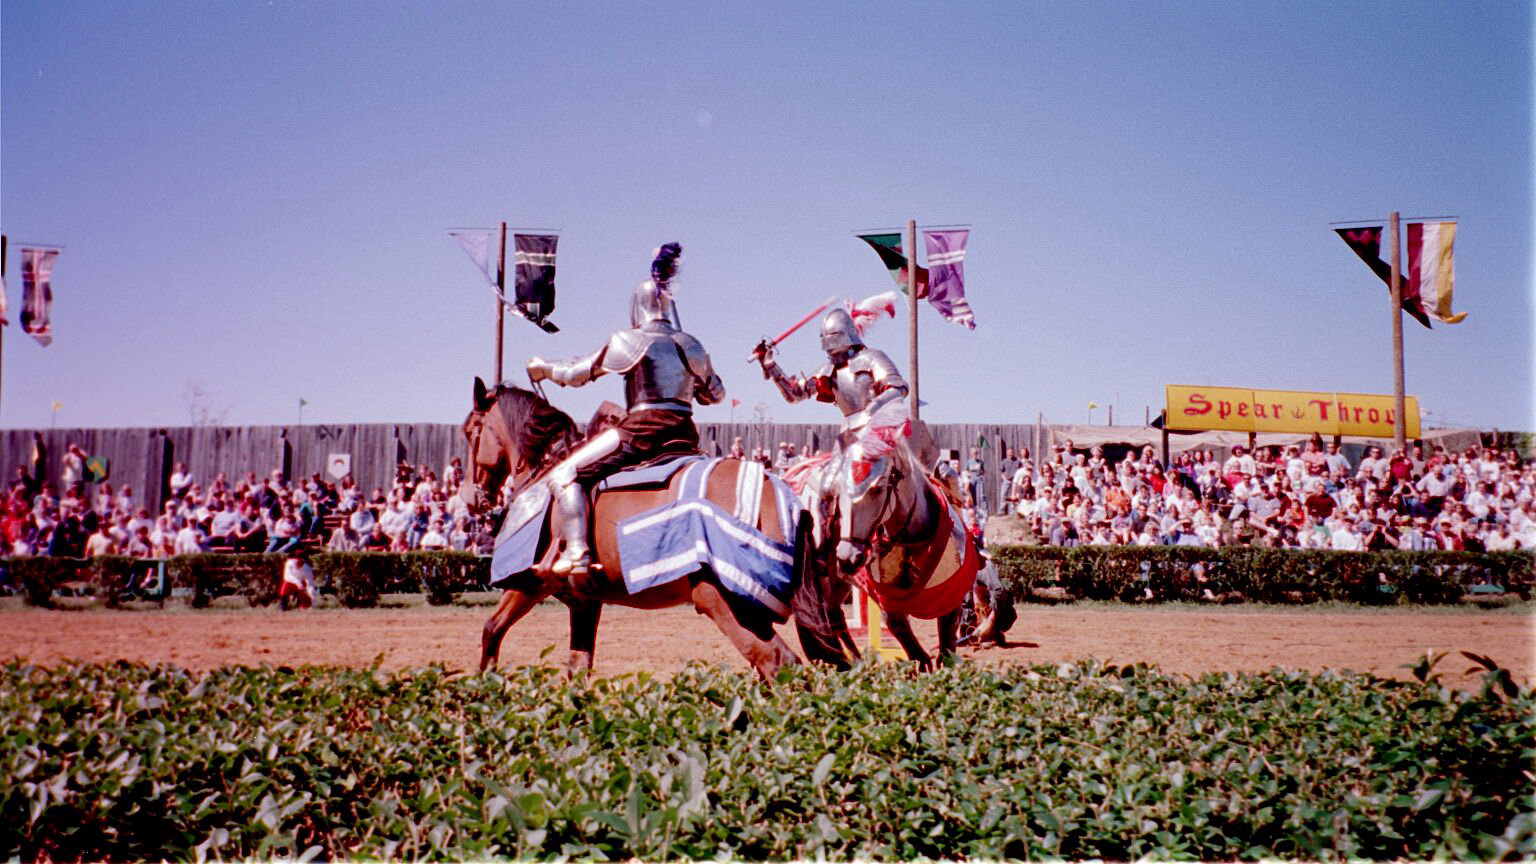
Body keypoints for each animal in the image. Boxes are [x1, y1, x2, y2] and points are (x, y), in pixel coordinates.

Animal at [461, 378, 812, 680]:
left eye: (470, 432)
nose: (469, 497)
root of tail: (781, 498)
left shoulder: (530, 582)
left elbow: (491, 630)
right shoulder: (584, 603)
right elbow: (577, 667)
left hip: (724, 603)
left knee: (776, 662)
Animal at [791, 428, 981, 669]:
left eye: (877, 488)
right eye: (839, 490)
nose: (848, 556)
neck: (914, 543)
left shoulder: (950, 605)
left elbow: (945, 655)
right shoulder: (891, 611)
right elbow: (920, 658)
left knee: (834, 615)